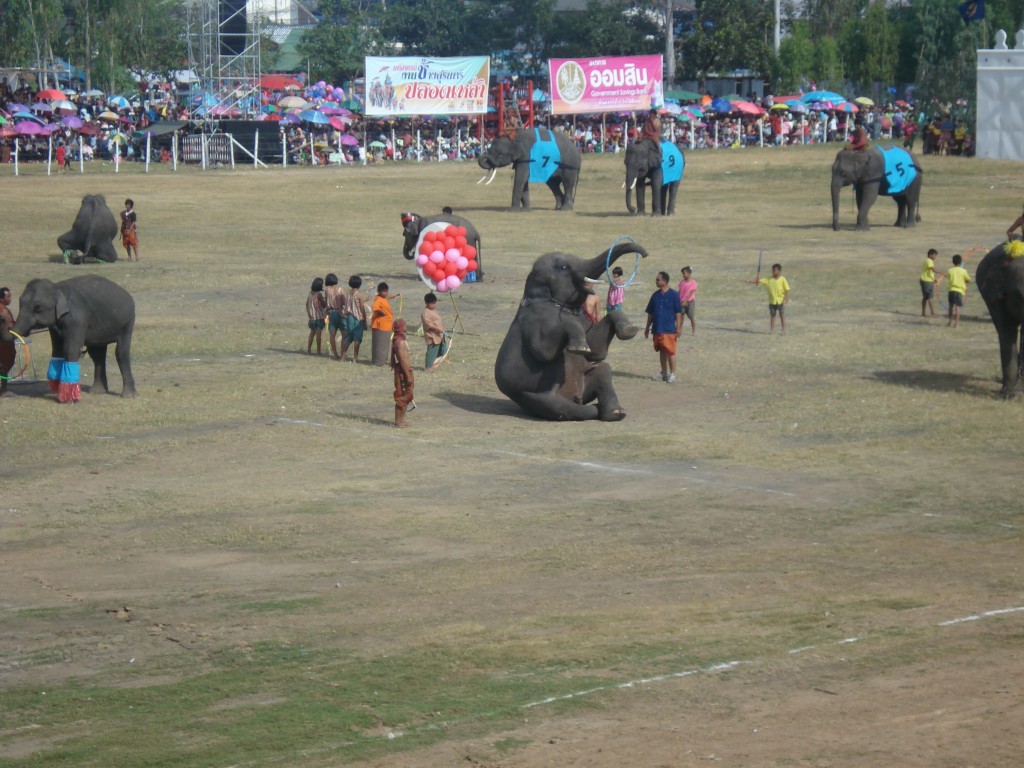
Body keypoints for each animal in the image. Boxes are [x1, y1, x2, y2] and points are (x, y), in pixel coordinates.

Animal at [0, 278, 136, 409]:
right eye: (20, 303)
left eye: (38, 307)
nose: (3, 319)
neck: (57, 288)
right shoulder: (55, 326)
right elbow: (57, 350)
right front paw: (59, 392)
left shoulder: (78, 319)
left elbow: (71, 350)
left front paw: (68, 399)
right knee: (97, 355)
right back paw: (97, 391)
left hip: (128, 321)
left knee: (121, 352)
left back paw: (128, 395)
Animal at [491, 240, 643, 421]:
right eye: (563, 267)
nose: (644, 253)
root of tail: (575, 398)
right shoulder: (534, 321)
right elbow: (544, 352)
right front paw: (579, 348)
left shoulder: (585, 319)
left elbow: (597, 351)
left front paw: (630, 330)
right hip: (533, 399)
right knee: (559, 406)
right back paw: (597, 409)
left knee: (603, 369)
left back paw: (615, 413)